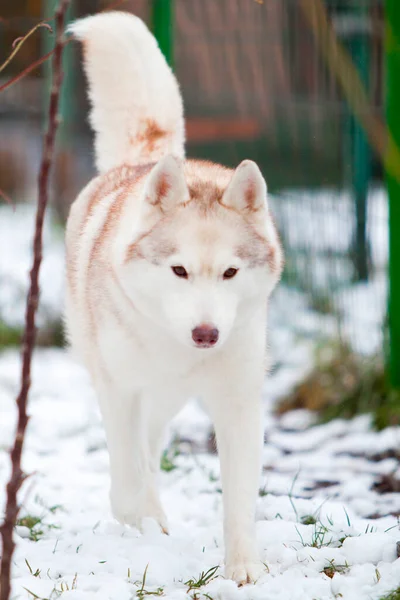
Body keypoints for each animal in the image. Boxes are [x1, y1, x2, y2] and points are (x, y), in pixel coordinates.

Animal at [65, 11, 282, 584]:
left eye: (230, 272)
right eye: (178, 270)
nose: (206, 334)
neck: (177, 348)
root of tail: (147, 161)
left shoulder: (238, 403)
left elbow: (239, 500)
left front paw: (243, 570)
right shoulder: (118, 391)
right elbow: (127, 481)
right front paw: (142, 518)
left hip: (165, 403)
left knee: (151, 445)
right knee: (137, 461)